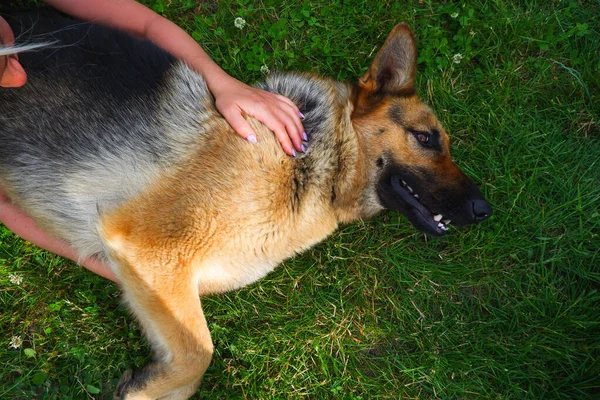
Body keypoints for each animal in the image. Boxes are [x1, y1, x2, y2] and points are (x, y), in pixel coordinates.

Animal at [0, 9, 490, 400]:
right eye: (426, 139)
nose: (484, 210)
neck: (316, 161)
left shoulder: (156, 279)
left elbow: (186, 370)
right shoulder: (151, 248)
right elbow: (198, 355)